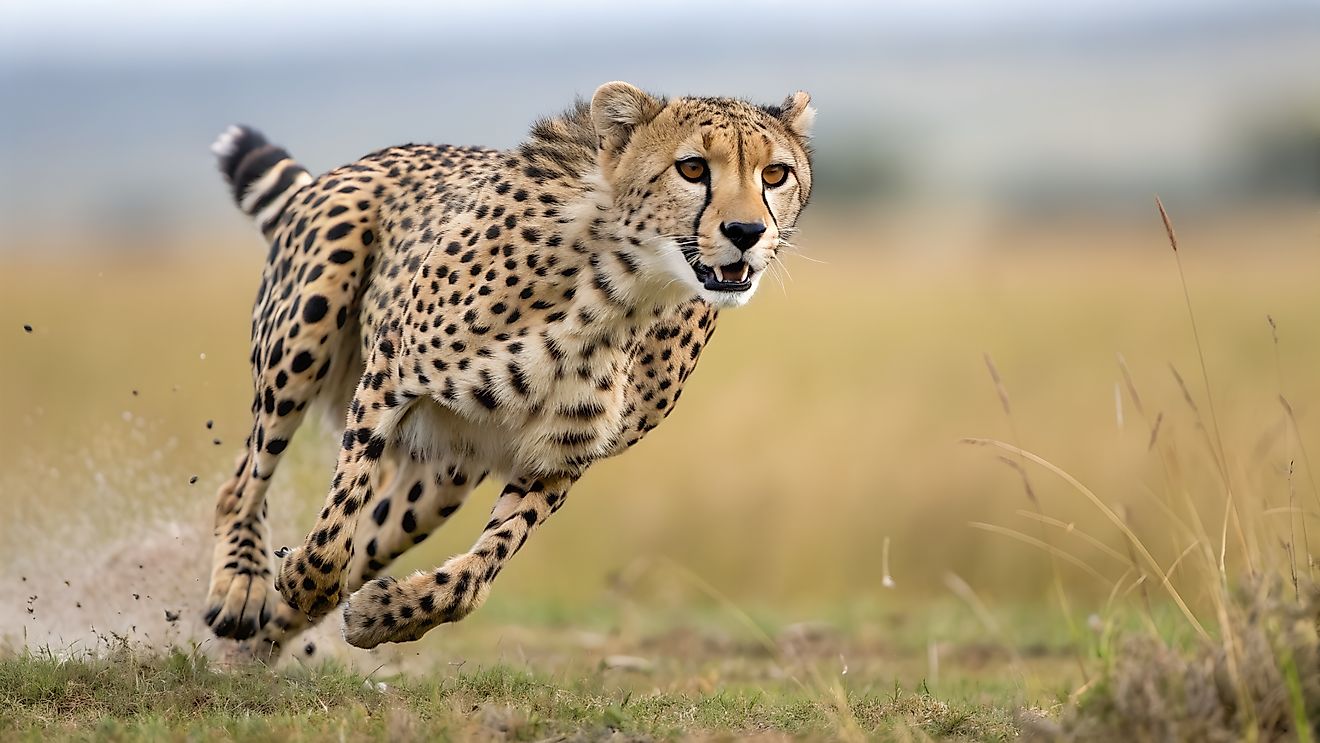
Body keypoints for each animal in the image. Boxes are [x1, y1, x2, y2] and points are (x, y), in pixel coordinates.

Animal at [203, 81, 815, 657]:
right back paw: (241, 592)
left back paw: (256, 649)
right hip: (304, 332)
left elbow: (477, 572)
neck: (621, 292)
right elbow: (336, 524)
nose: (747, 233)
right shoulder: (390, 368)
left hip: (438, 482)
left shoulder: (560, 456)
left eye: (775, 174)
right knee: (242, 482)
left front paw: (383, 614)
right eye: (692, 168)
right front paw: (303, 579)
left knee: (371, 536)